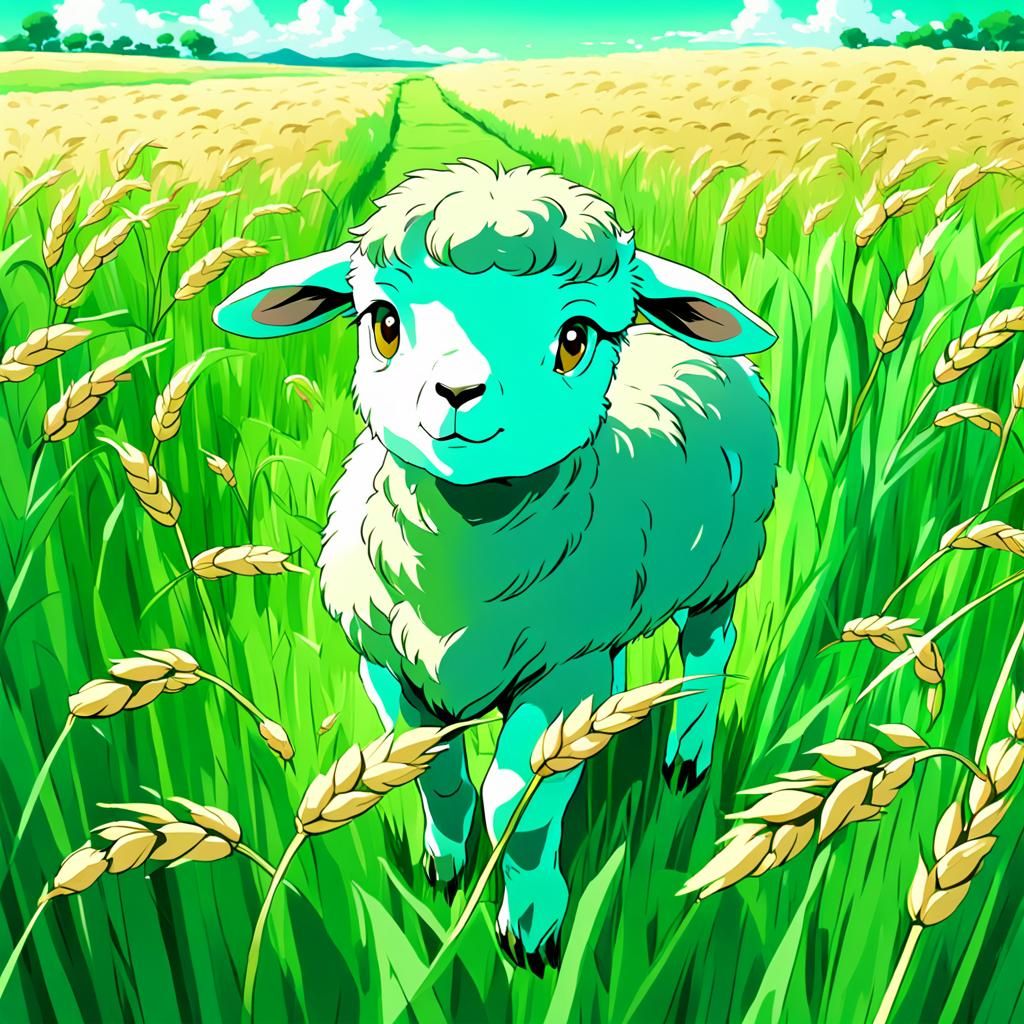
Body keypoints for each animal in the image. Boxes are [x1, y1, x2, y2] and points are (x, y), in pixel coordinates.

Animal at [214, 159, 778, 972]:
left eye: (574, 338)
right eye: (384, 323)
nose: (457, 394)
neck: (461, 566)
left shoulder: (566, 673)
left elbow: (517, 801)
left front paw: (533, 928)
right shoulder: (389, 667)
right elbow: (439, 778)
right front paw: (444, 870)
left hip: (725, 561)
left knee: (709, 647)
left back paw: (687, 754)